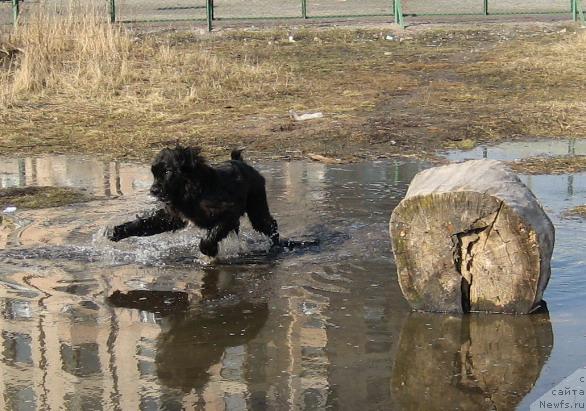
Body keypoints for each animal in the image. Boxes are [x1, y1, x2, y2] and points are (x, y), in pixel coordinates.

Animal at [107, 147, 280, 258]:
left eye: (168, 172)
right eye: (154, 173)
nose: (153, 190)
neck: (193, 190)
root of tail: (242, 163)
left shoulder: (228, 214)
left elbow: (210, 236)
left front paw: (210, 251)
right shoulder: (173, 217)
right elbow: (145, 224)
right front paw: (117, 231)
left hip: (257, 207)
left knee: (270, 224)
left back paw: (276, 246)